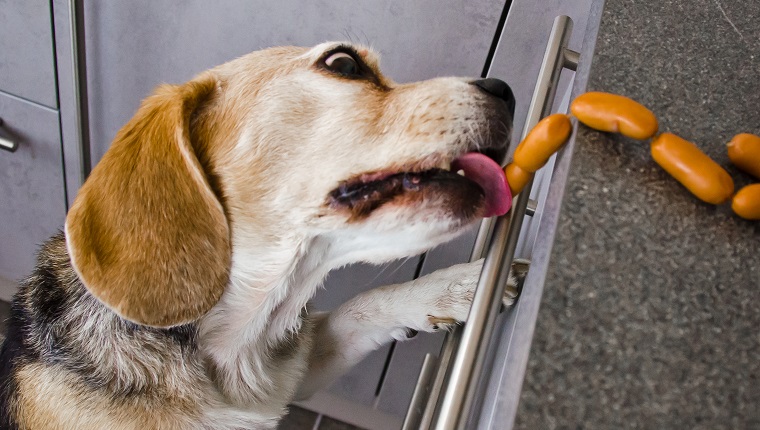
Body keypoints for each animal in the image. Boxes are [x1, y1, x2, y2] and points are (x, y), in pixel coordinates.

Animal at [0, 41, 524, 430]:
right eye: (343, 63)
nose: (506, 89)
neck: (232, 342)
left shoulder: (291, 374)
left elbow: (361, 307)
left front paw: (461, 286)